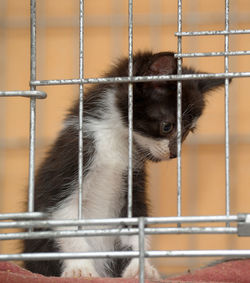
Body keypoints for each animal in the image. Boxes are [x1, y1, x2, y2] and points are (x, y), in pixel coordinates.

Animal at [23, 51, 225, 280]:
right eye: (167, 126)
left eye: (189, 132)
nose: (174, 154)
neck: (114, 139)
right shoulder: (71, 160)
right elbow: (66, 219)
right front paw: (80, 268)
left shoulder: (133, 181)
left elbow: (135, 224)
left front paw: (139, 268)